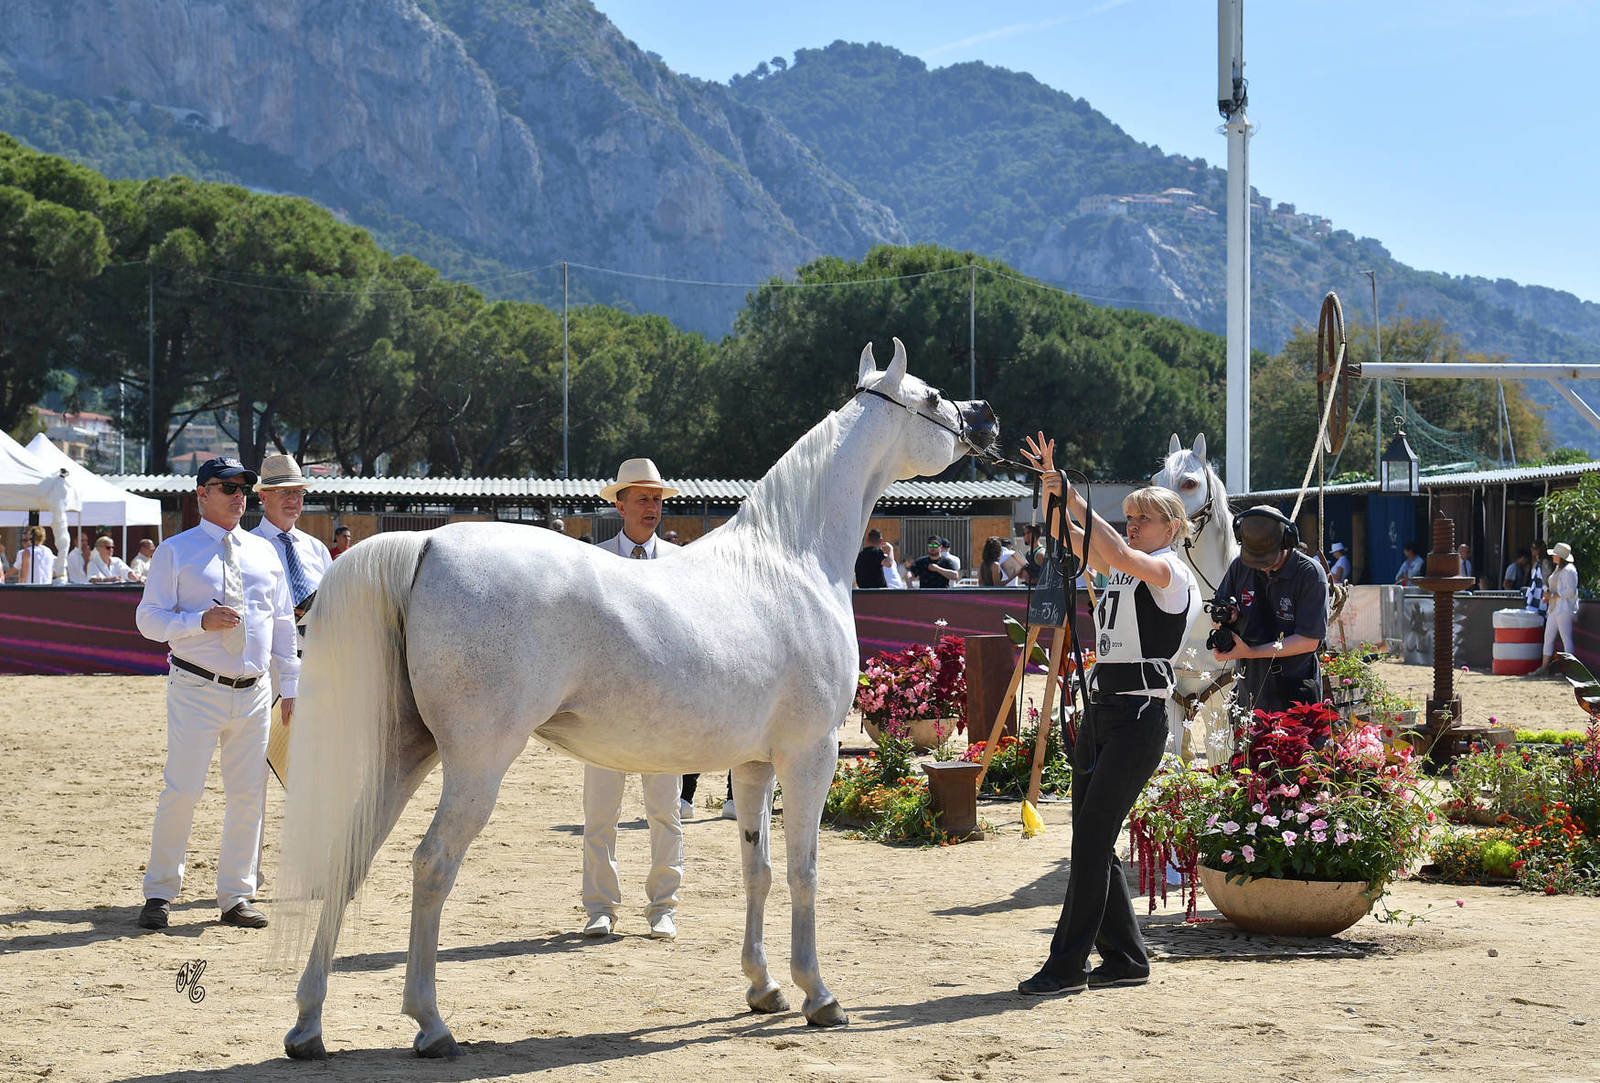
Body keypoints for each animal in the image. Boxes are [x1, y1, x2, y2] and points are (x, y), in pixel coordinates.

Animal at [278, 338, 998, 1060]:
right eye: (933, 397)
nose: (985, 415)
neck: (788, 561)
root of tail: (426, 540)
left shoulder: (753, 765)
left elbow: (757, 869)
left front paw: (763, 987)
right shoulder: (809, 754)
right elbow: (803, 870)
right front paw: (817, 995)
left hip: (408, 751)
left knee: (348, 858)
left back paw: (308, 1025)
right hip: (477, 763)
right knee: (431, 865)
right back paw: (430, 1024)